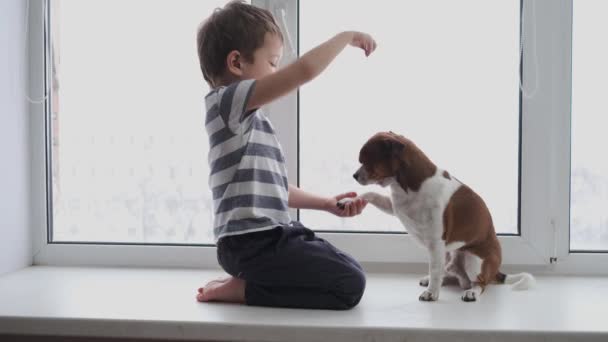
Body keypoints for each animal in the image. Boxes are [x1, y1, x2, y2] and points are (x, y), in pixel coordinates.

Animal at [352, 131, 532, 302]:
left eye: (366, 161)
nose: (354, 175)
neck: (408, 186)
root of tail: (495, 271)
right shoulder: (394, 207)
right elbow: (372, 195)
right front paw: (353, 200)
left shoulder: (435, 242)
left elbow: (434, 268)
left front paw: (431, 294)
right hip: (449, 253)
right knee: (452, 272)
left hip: (472, 259)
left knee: (479, 283)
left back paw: (471, 292)